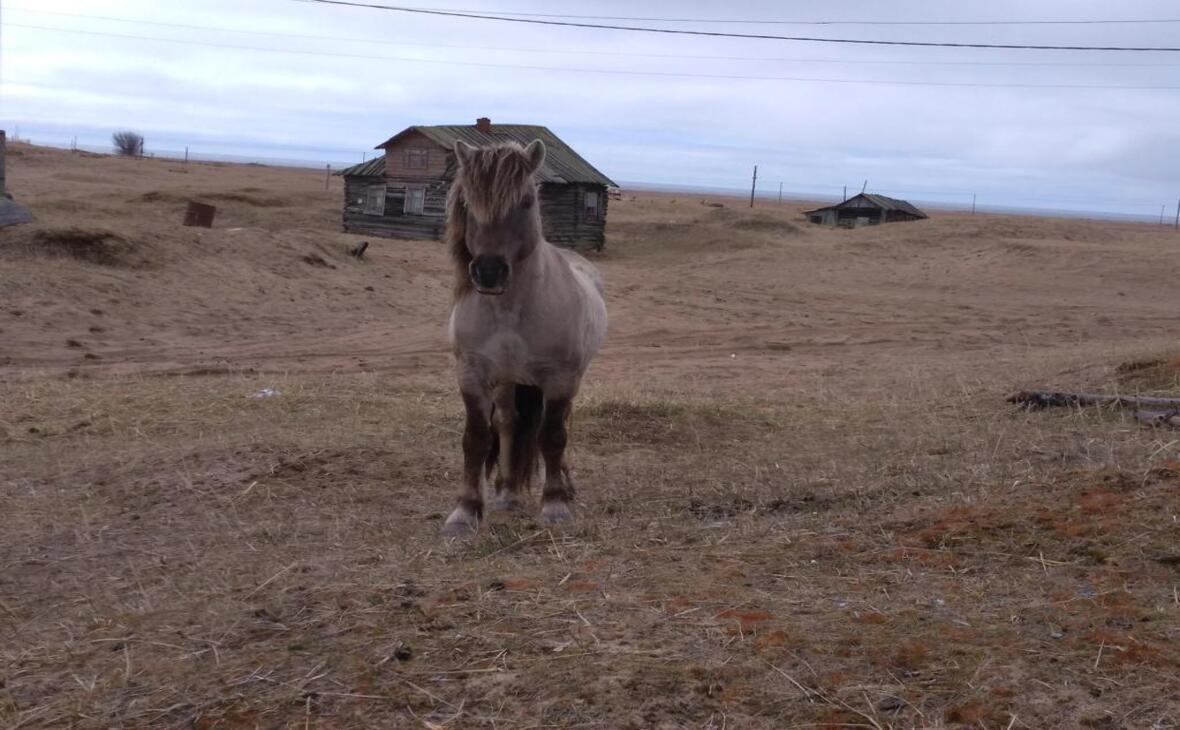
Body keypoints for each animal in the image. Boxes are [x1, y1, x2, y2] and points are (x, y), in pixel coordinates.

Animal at [441, 138, 608, 537]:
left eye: (527, 201)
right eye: (467, 202)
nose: (488, 272)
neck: (509, 311)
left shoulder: (560, 379)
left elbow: (552, 435)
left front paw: (555, 504)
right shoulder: (471, 374)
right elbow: (476, 437)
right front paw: (466, 511)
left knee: (555, 427)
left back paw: (563, 485)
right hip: (507, 380)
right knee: (508, 422)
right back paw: (506, 492)